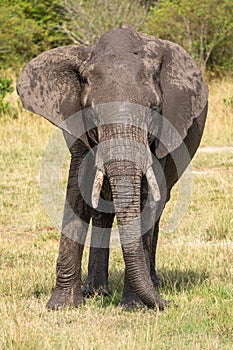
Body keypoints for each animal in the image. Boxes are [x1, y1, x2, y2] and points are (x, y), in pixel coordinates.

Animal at [17, 24, 208, 310]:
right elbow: (78, 189)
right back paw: (96, 291)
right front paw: (61, 306)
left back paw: (152, 282)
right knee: (102, 209)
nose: (168, 303)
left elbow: (146, 198)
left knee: (159, 205)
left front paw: (134, 306)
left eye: (154, 109)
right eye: (91, 111)